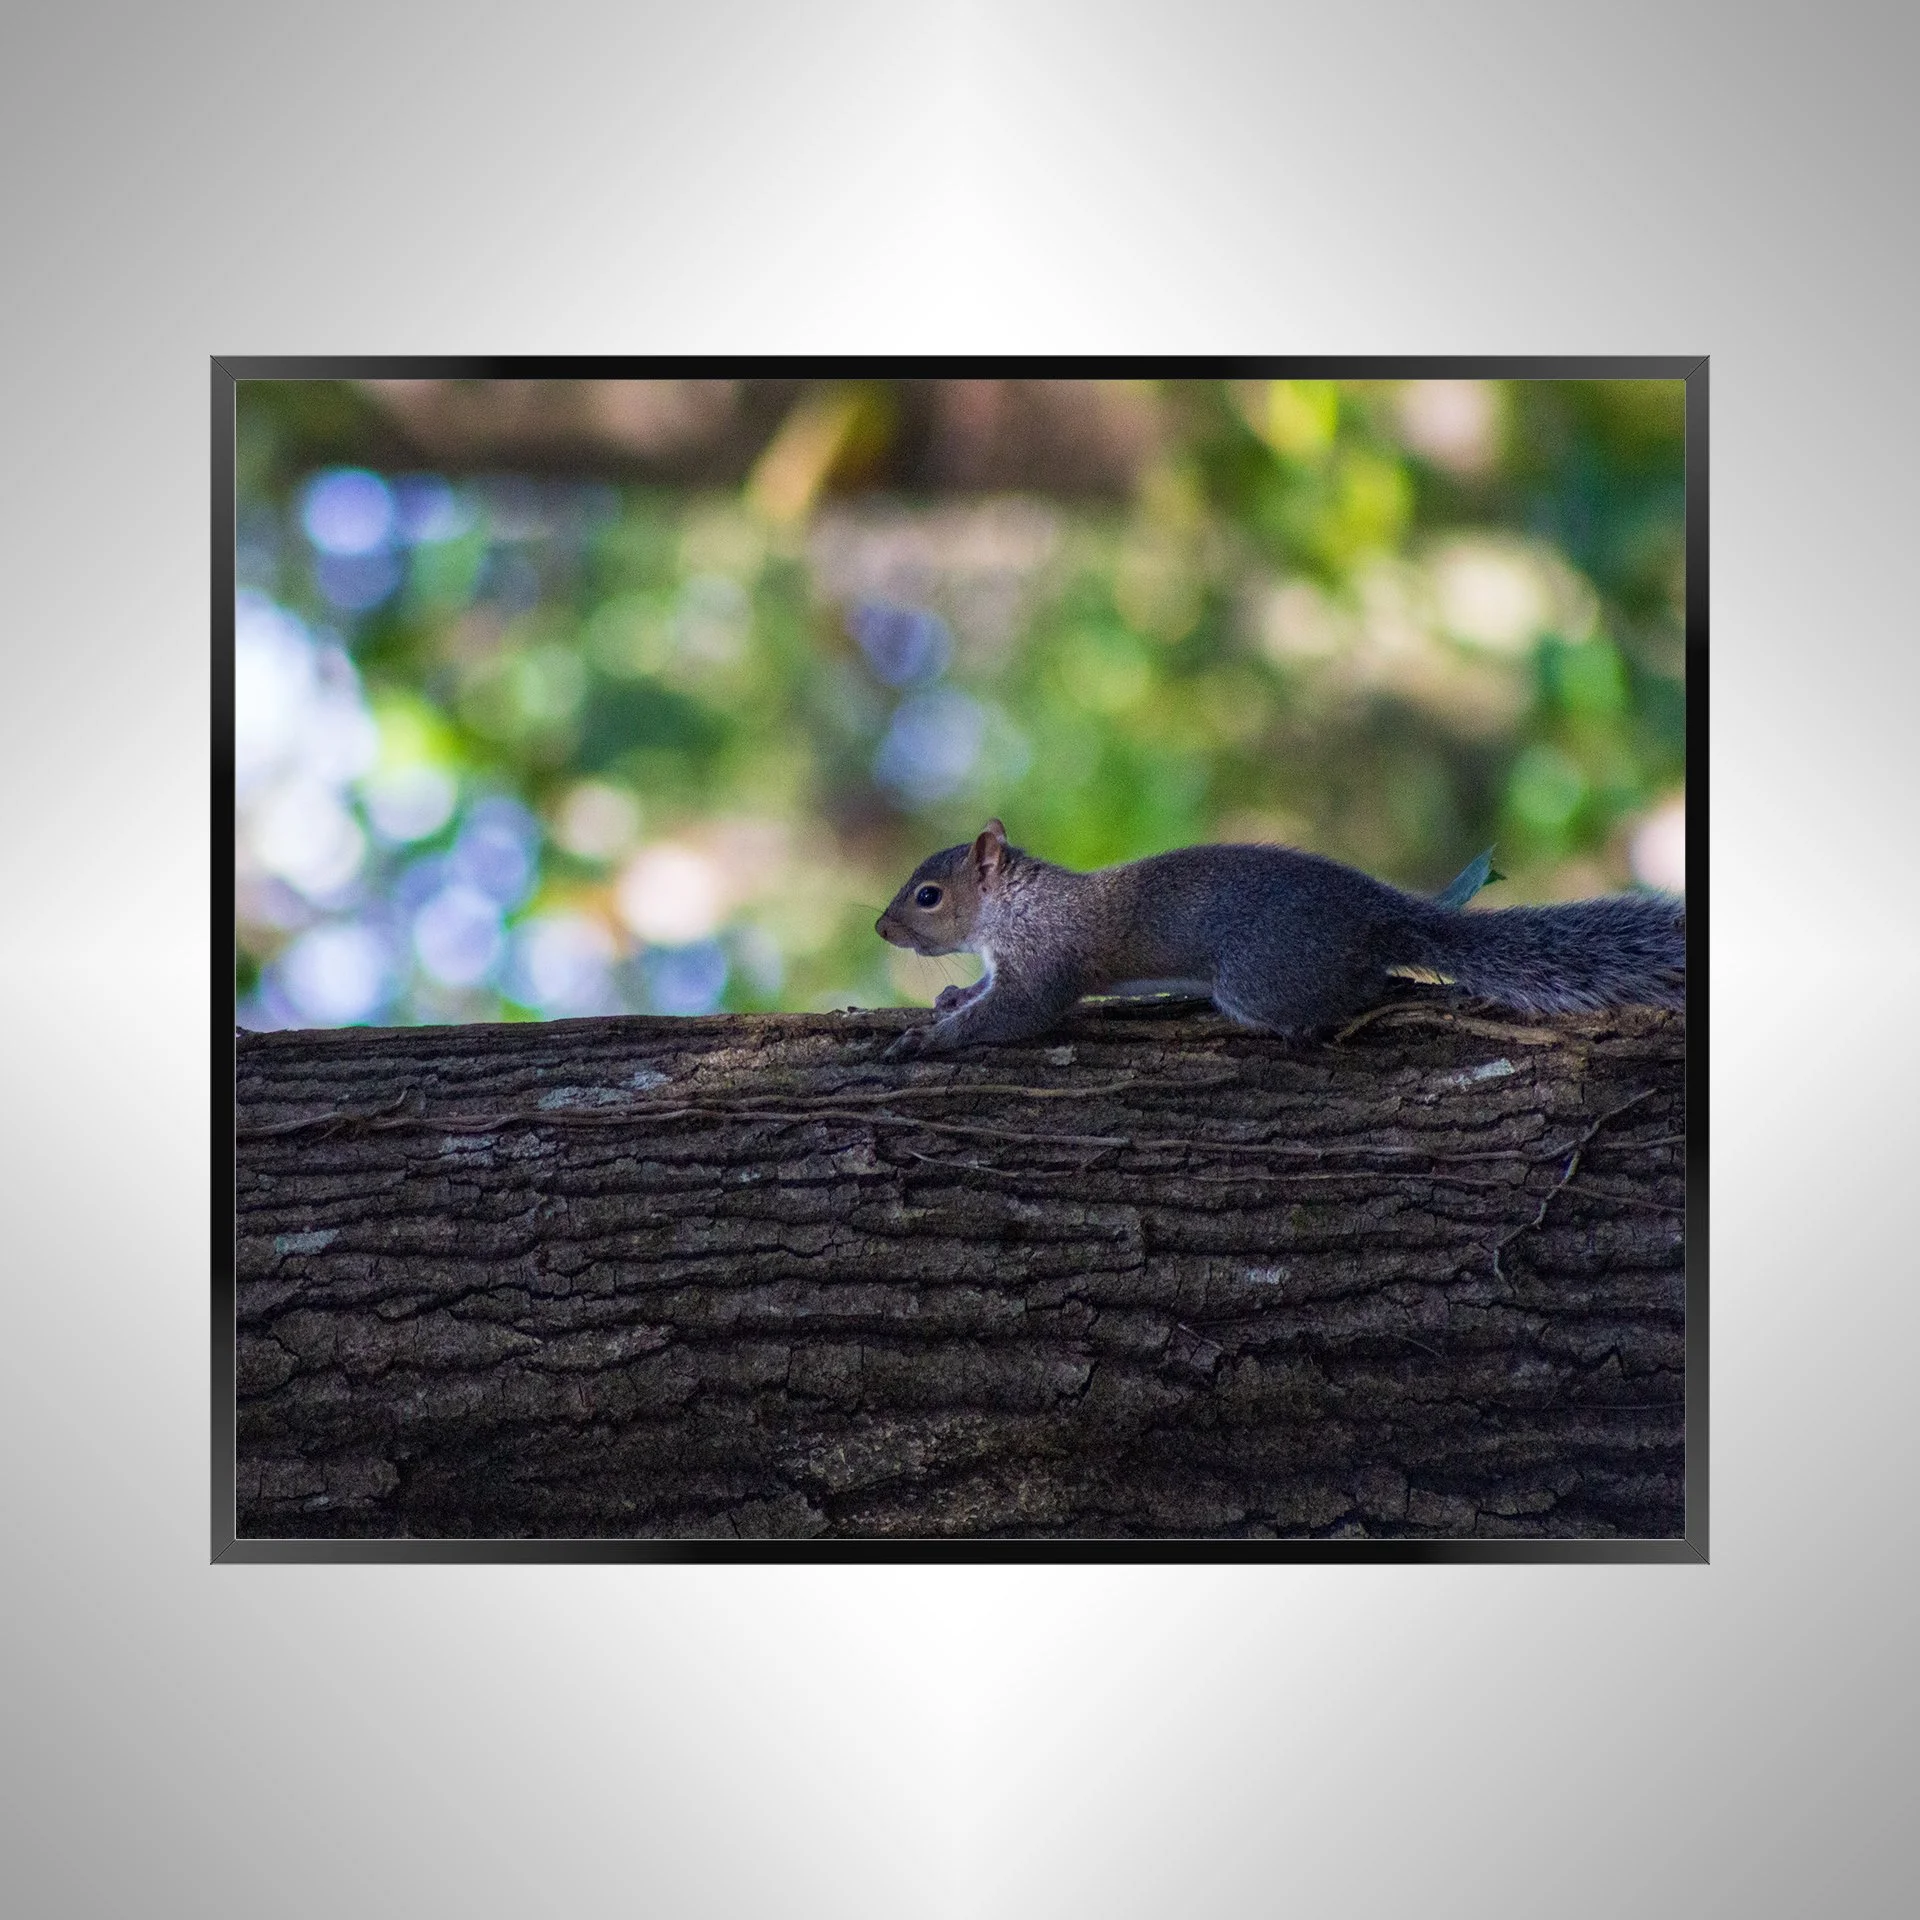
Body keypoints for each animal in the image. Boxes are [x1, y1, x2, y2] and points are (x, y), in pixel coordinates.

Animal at [876, 819, 1684, 1059]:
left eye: (928, 895)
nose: (881, 927)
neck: (1010, 908)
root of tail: (1379, 912)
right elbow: (985, 991)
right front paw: (952, 997)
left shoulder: (1045, 957)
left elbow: (1020, 1012)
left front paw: (929, 1040)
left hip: (1258, 979)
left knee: (1365, 988)